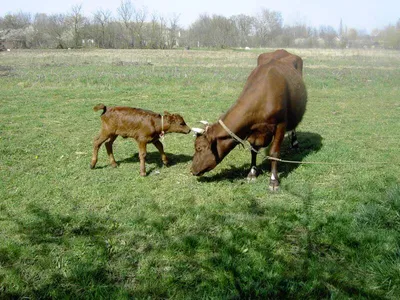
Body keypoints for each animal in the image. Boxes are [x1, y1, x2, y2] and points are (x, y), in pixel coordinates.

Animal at [191, 59, 306, 190]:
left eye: (199, 148)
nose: (191, 169)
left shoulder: (281, 125)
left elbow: (274, 153)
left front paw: (273, 181)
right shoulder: (252, 131)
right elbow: (253, 150)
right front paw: (252, 173)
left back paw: (295, 144)